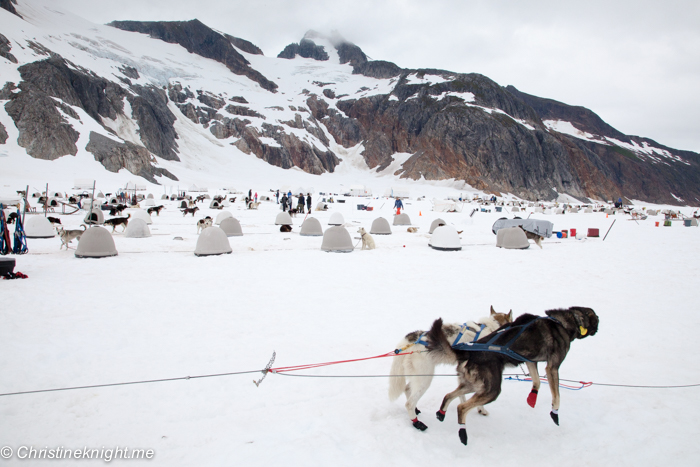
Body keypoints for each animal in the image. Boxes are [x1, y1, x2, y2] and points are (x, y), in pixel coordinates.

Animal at [388, 308, 516, 432]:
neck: (492, 329)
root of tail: (411, 340)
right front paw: (481, 409)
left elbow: (461, 395)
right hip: (425, 378)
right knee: (409, 403)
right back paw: (417, 423)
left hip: (419, 376)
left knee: (407, 389)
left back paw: (416, 410)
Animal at [430, 308, 600, 446]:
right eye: (596, 319)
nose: (598, 327)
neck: (561, 322)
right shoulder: (552, 367)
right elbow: (556, 396)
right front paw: (554, 413)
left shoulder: (530, 361)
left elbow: (537, 381)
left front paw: (532, 398)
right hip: (491, 389)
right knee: (462, 406)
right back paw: (463, 432)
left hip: (475, 384)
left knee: (450, 396)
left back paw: (442, 414)